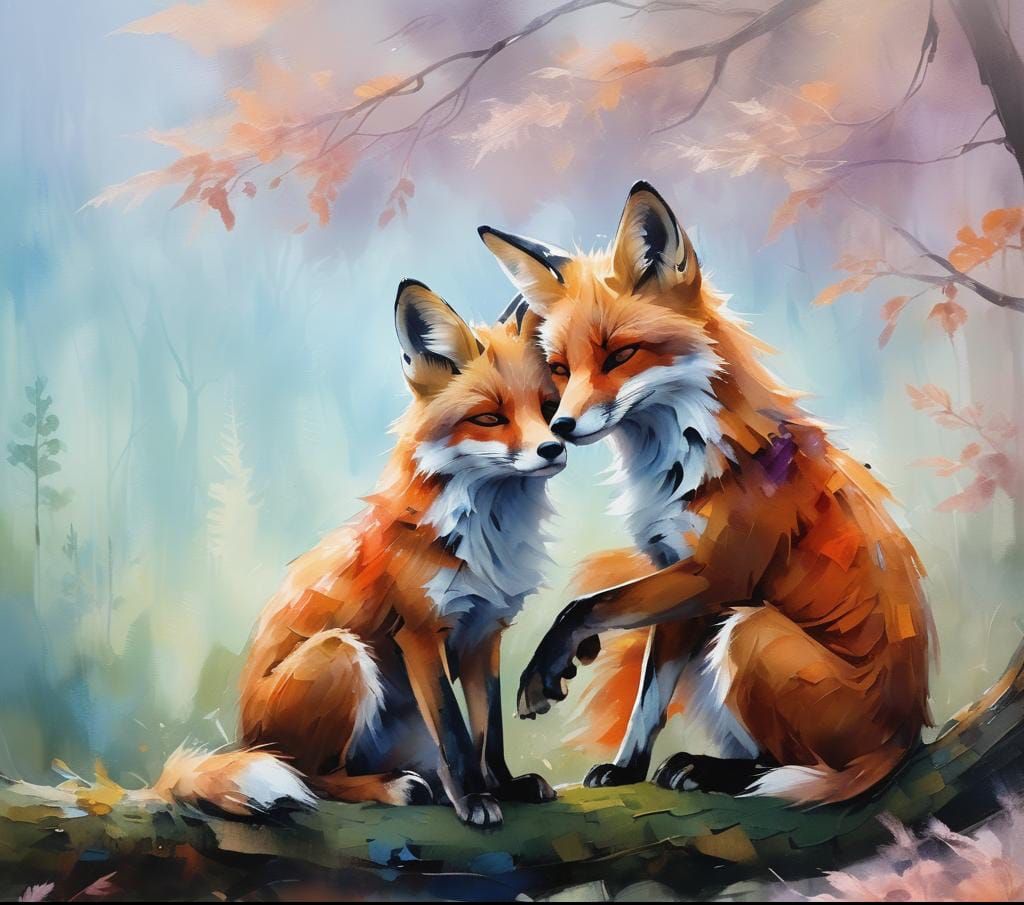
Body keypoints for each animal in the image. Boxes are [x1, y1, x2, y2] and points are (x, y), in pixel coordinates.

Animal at [152, 279, 566, 828]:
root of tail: (246, 741)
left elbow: (488, 732)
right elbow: (456, 735)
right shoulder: (419, 632)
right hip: (342, 654)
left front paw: (502, 786)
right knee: (315, 780)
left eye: (549, 408)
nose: (553, 449)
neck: (484, 541)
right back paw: (397, 788)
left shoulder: (485, 633)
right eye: (489, 418)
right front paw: (475, 798)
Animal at [477, 181, 935, 804]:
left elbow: (585, 605)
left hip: (747, 632)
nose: (563, 428)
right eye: (560, 368)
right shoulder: (679, 581)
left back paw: (716, 771)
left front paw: (550, 665)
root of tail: (905, 739)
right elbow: (648, 700)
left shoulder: (720, 574)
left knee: (791, 765)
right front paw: (625, 770)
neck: (683, 462)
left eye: (620, 355)